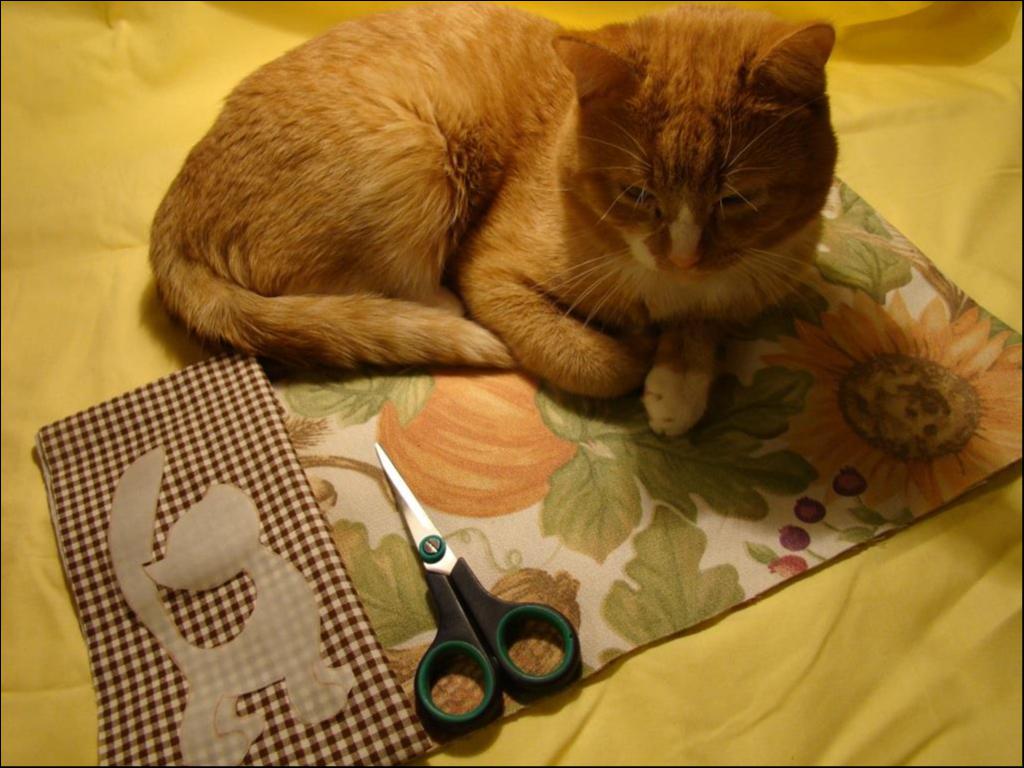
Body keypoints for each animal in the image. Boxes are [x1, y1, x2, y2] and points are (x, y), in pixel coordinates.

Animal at [150, 2, 837, 435]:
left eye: (738, 199)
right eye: (637, 193)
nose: (685, 257)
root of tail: (174, 209)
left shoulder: (750, 285)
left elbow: (706, 324)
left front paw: (680, 381)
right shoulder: (493, 271)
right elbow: (586, 361)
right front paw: (636, 356)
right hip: (417, 153)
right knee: (386, 292)